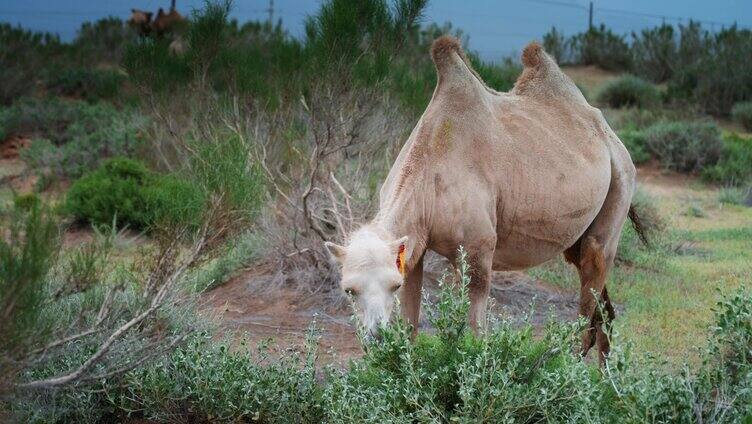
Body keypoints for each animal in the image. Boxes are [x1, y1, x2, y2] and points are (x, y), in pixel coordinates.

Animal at [324, 35, 648, 364]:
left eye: (393, 284)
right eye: (348, 290)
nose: (376, 338)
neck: (428, 171)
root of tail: (609, 136)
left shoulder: (478, 250)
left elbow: (475, 334)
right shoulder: (413, 249)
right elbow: (411, 327)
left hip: (620, 183)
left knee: (591, 291)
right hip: (577, 234)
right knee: (603, 309)